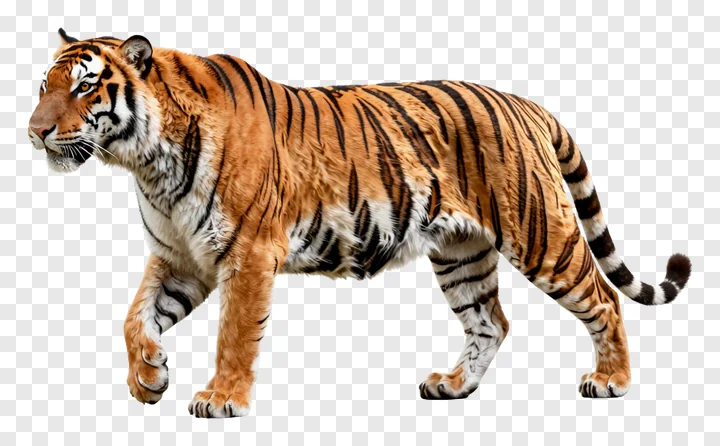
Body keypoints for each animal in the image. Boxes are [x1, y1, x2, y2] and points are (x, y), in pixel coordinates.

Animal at [28, 29, 691, 417]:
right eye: (43, 85)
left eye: (85, 87)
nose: (35, 131)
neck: (146, 162)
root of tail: (526, 105)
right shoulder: (182, 258)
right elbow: (134, 318)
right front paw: (149, 378)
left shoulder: (248, 253)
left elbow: (234, 335)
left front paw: (221, 398)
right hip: (461, 253)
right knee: (491, 322)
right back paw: (453, 386)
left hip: (541, 236)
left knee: (604, 297)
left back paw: (611, 381)